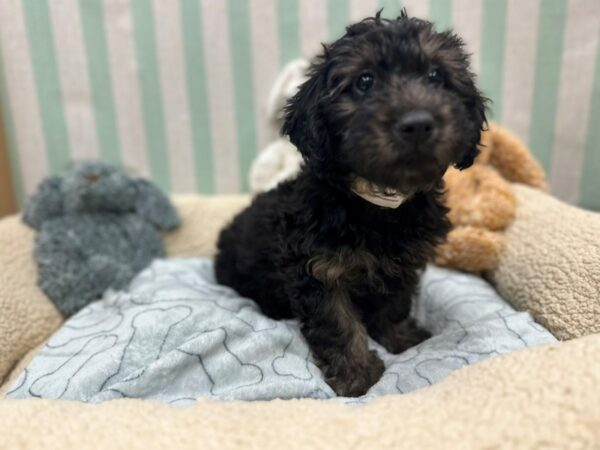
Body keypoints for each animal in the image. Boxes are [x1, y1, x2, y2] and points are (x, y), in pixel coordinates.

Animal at [216, 11, 488, 398]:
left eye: (436, 76)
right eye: (365, 81)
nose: (418, 123)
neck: (376, 204)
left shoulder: (402, 263)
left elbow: (394, 302)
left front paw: (399, 336)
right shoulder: (318, 269)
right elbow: (337, 322)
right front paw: (356, 373)